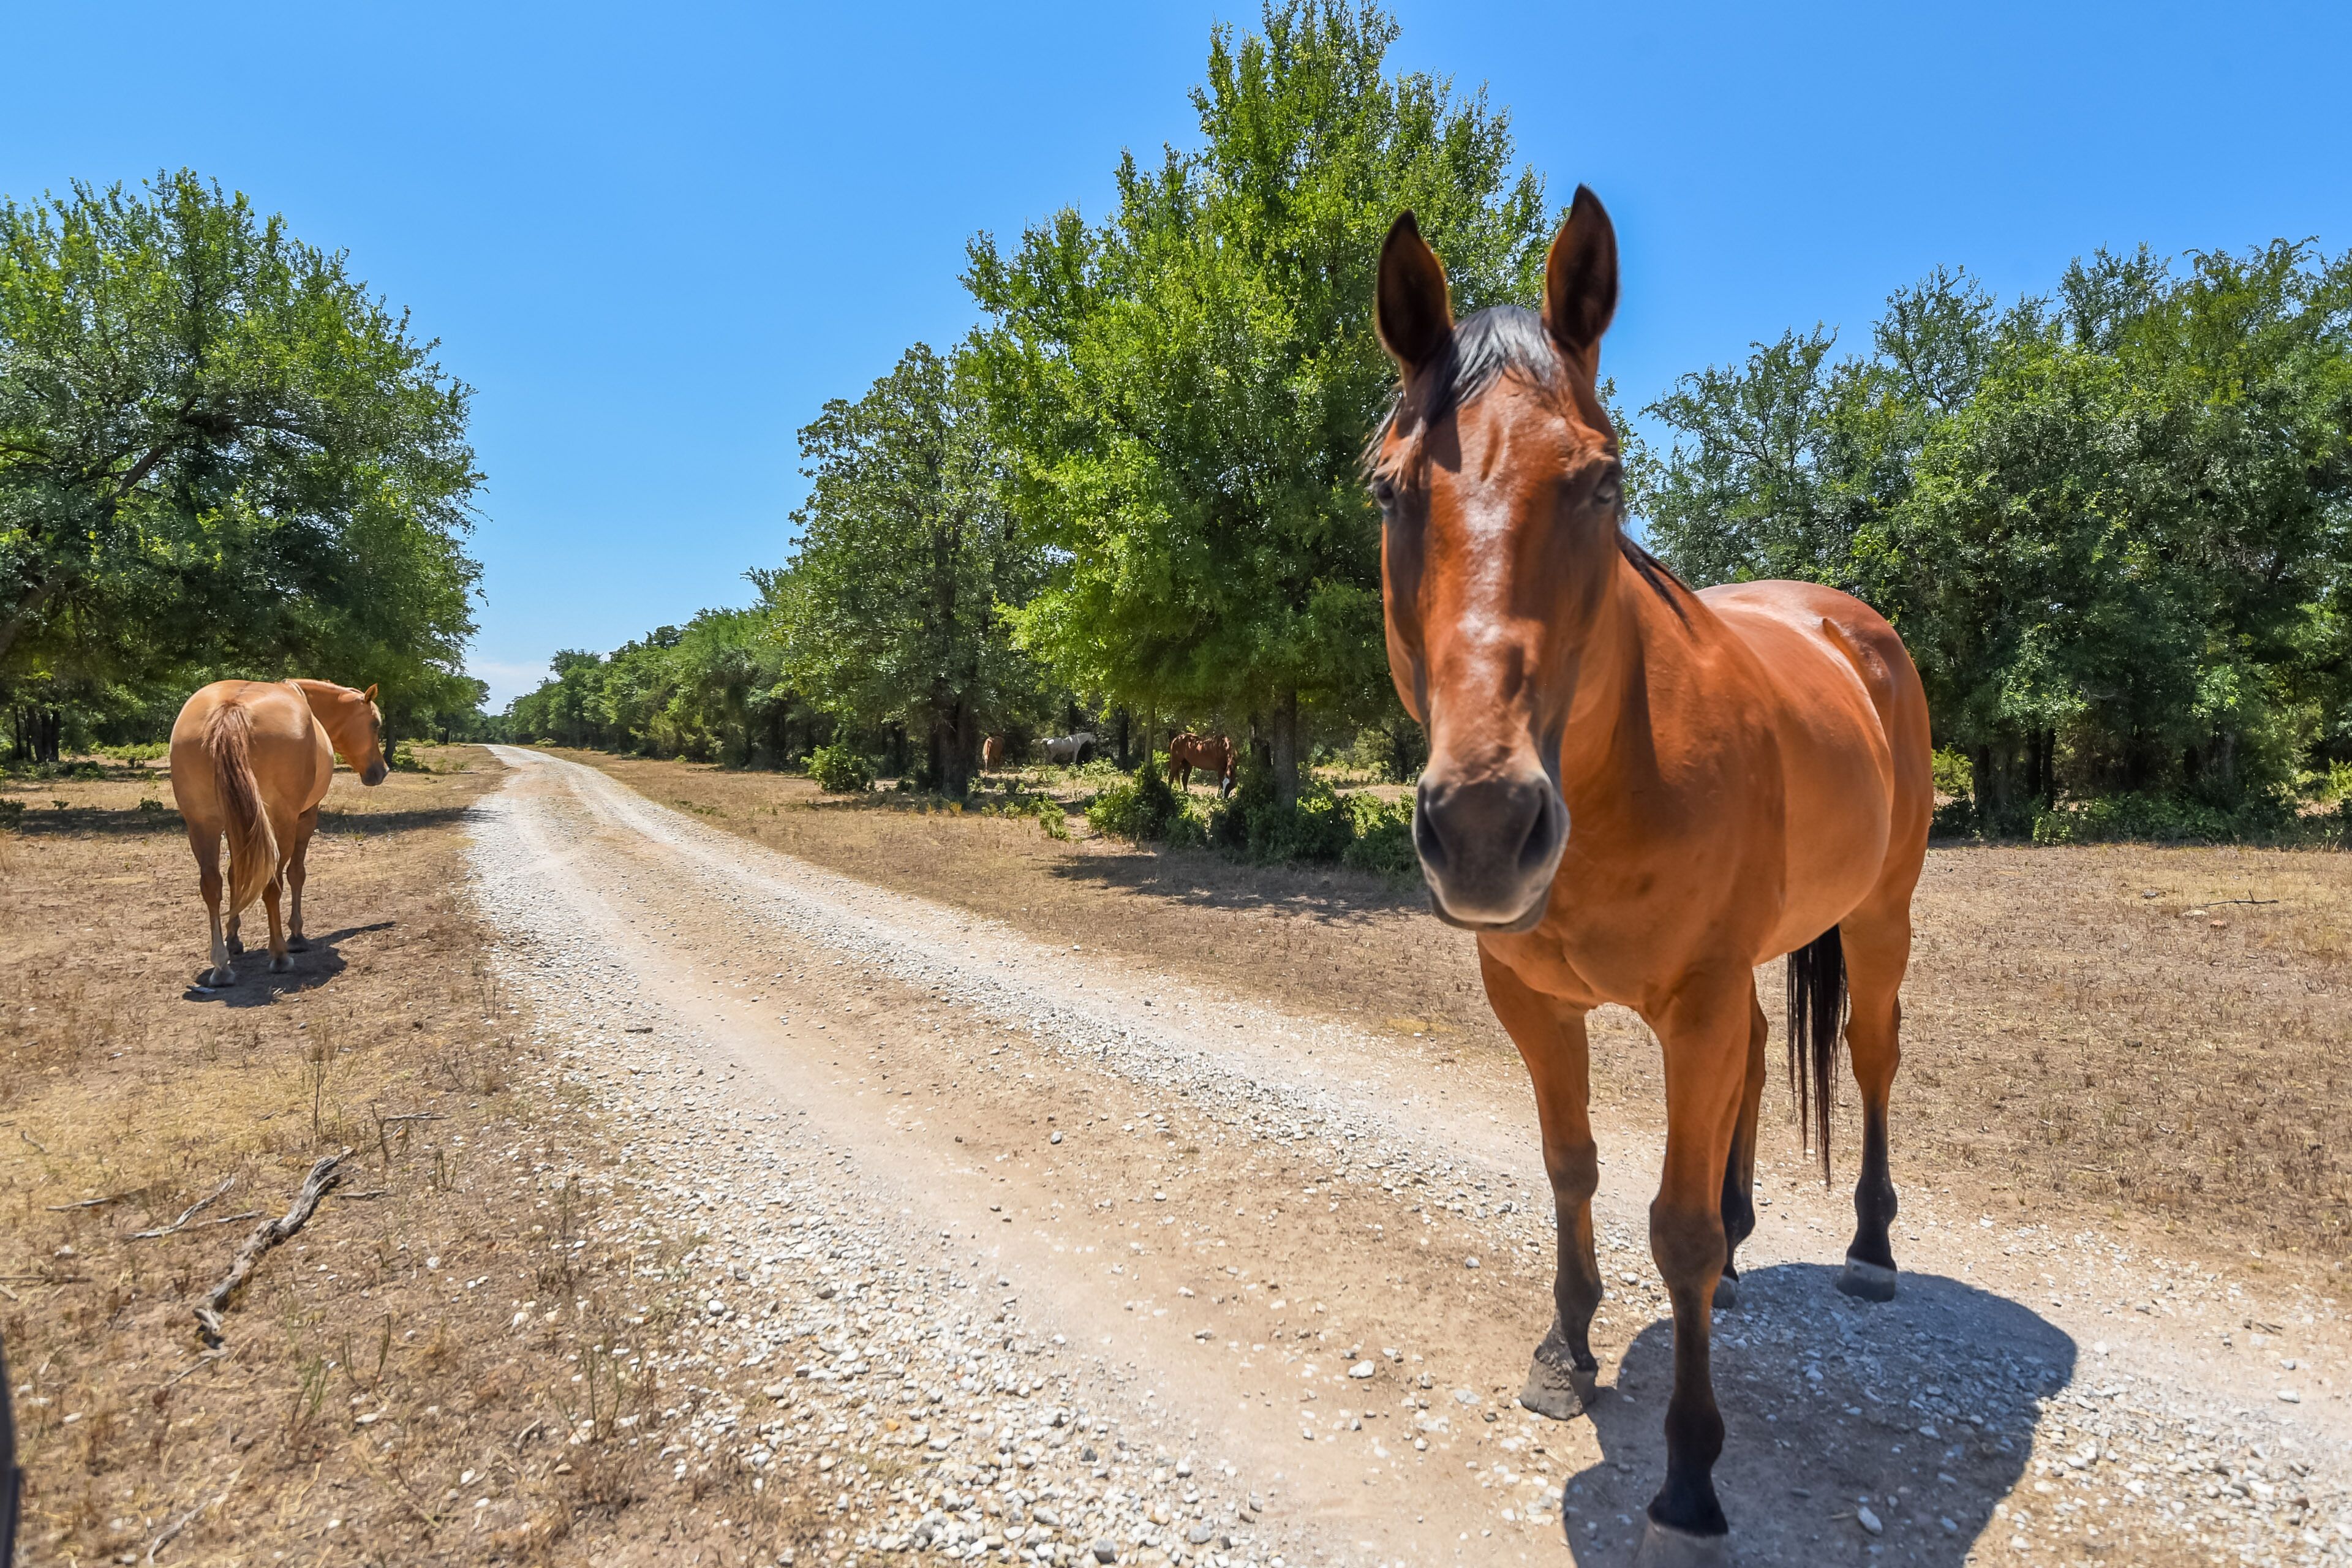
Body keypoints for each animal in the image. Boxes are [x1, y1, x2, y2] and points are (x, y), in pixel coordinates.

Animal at [168, 679, 390, 987]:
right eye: (375, 725)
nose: (382, 771)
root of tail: (231, 708)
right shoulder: (306, 816)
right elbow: (296, 874)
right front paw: (297, 935)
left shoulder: (237, 825)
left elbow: (236, 875)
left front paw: (234, 938)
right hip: (280, 823)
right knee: (272, 884)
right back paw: (280, 955)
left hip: (203, 823)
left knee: (212, 884)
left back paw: (221, 966)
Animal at [1369, 191, 1931, 1565]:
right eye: (1390, 488)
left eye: (1602, 476)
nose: (1485, 823)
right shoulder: (1535, 1002)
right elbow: (1572, 1166)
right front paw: (1565, 1350)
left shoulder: (1696, 1003)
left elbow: (1670, 1224)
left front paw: (1688, 1475)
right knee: (1763, 1071)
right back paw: (1741, 1250)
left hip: (1879, 918)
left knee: (1873, 1061)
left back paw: (1871, 1245)